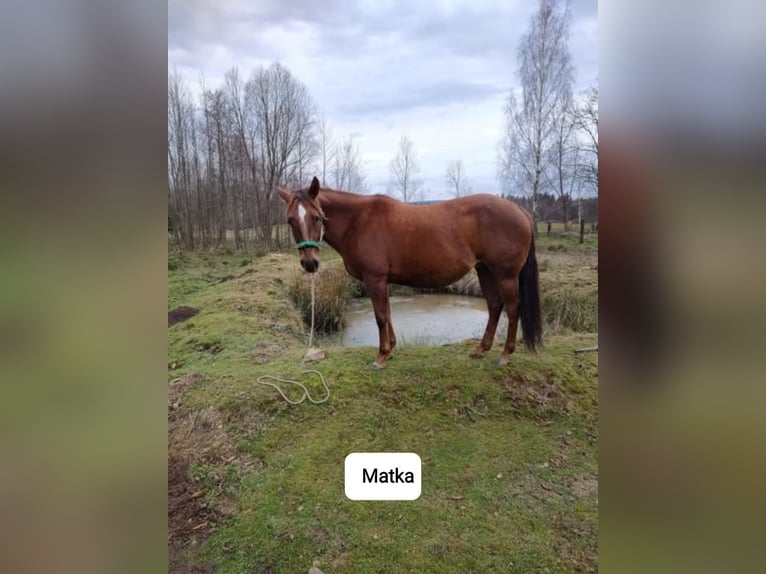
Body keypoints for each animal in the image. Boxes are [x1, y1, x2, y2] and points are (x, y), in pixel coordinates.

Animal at [278, 177, 542, 370]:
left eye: (316, 217)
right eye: (290, 220)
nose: (310, 263)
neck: (359, 221)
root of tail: (519, 210)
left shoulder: (374, 279)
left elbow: (380, 316)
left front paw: (381, 357)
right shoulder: (383, 281)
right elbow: (388, 313)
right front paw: (391, 351)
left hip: (505, 275)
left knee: (512, 309)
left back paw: (505, 355)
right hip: (484, 270)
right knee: (495, 306)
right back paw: (480, 350)